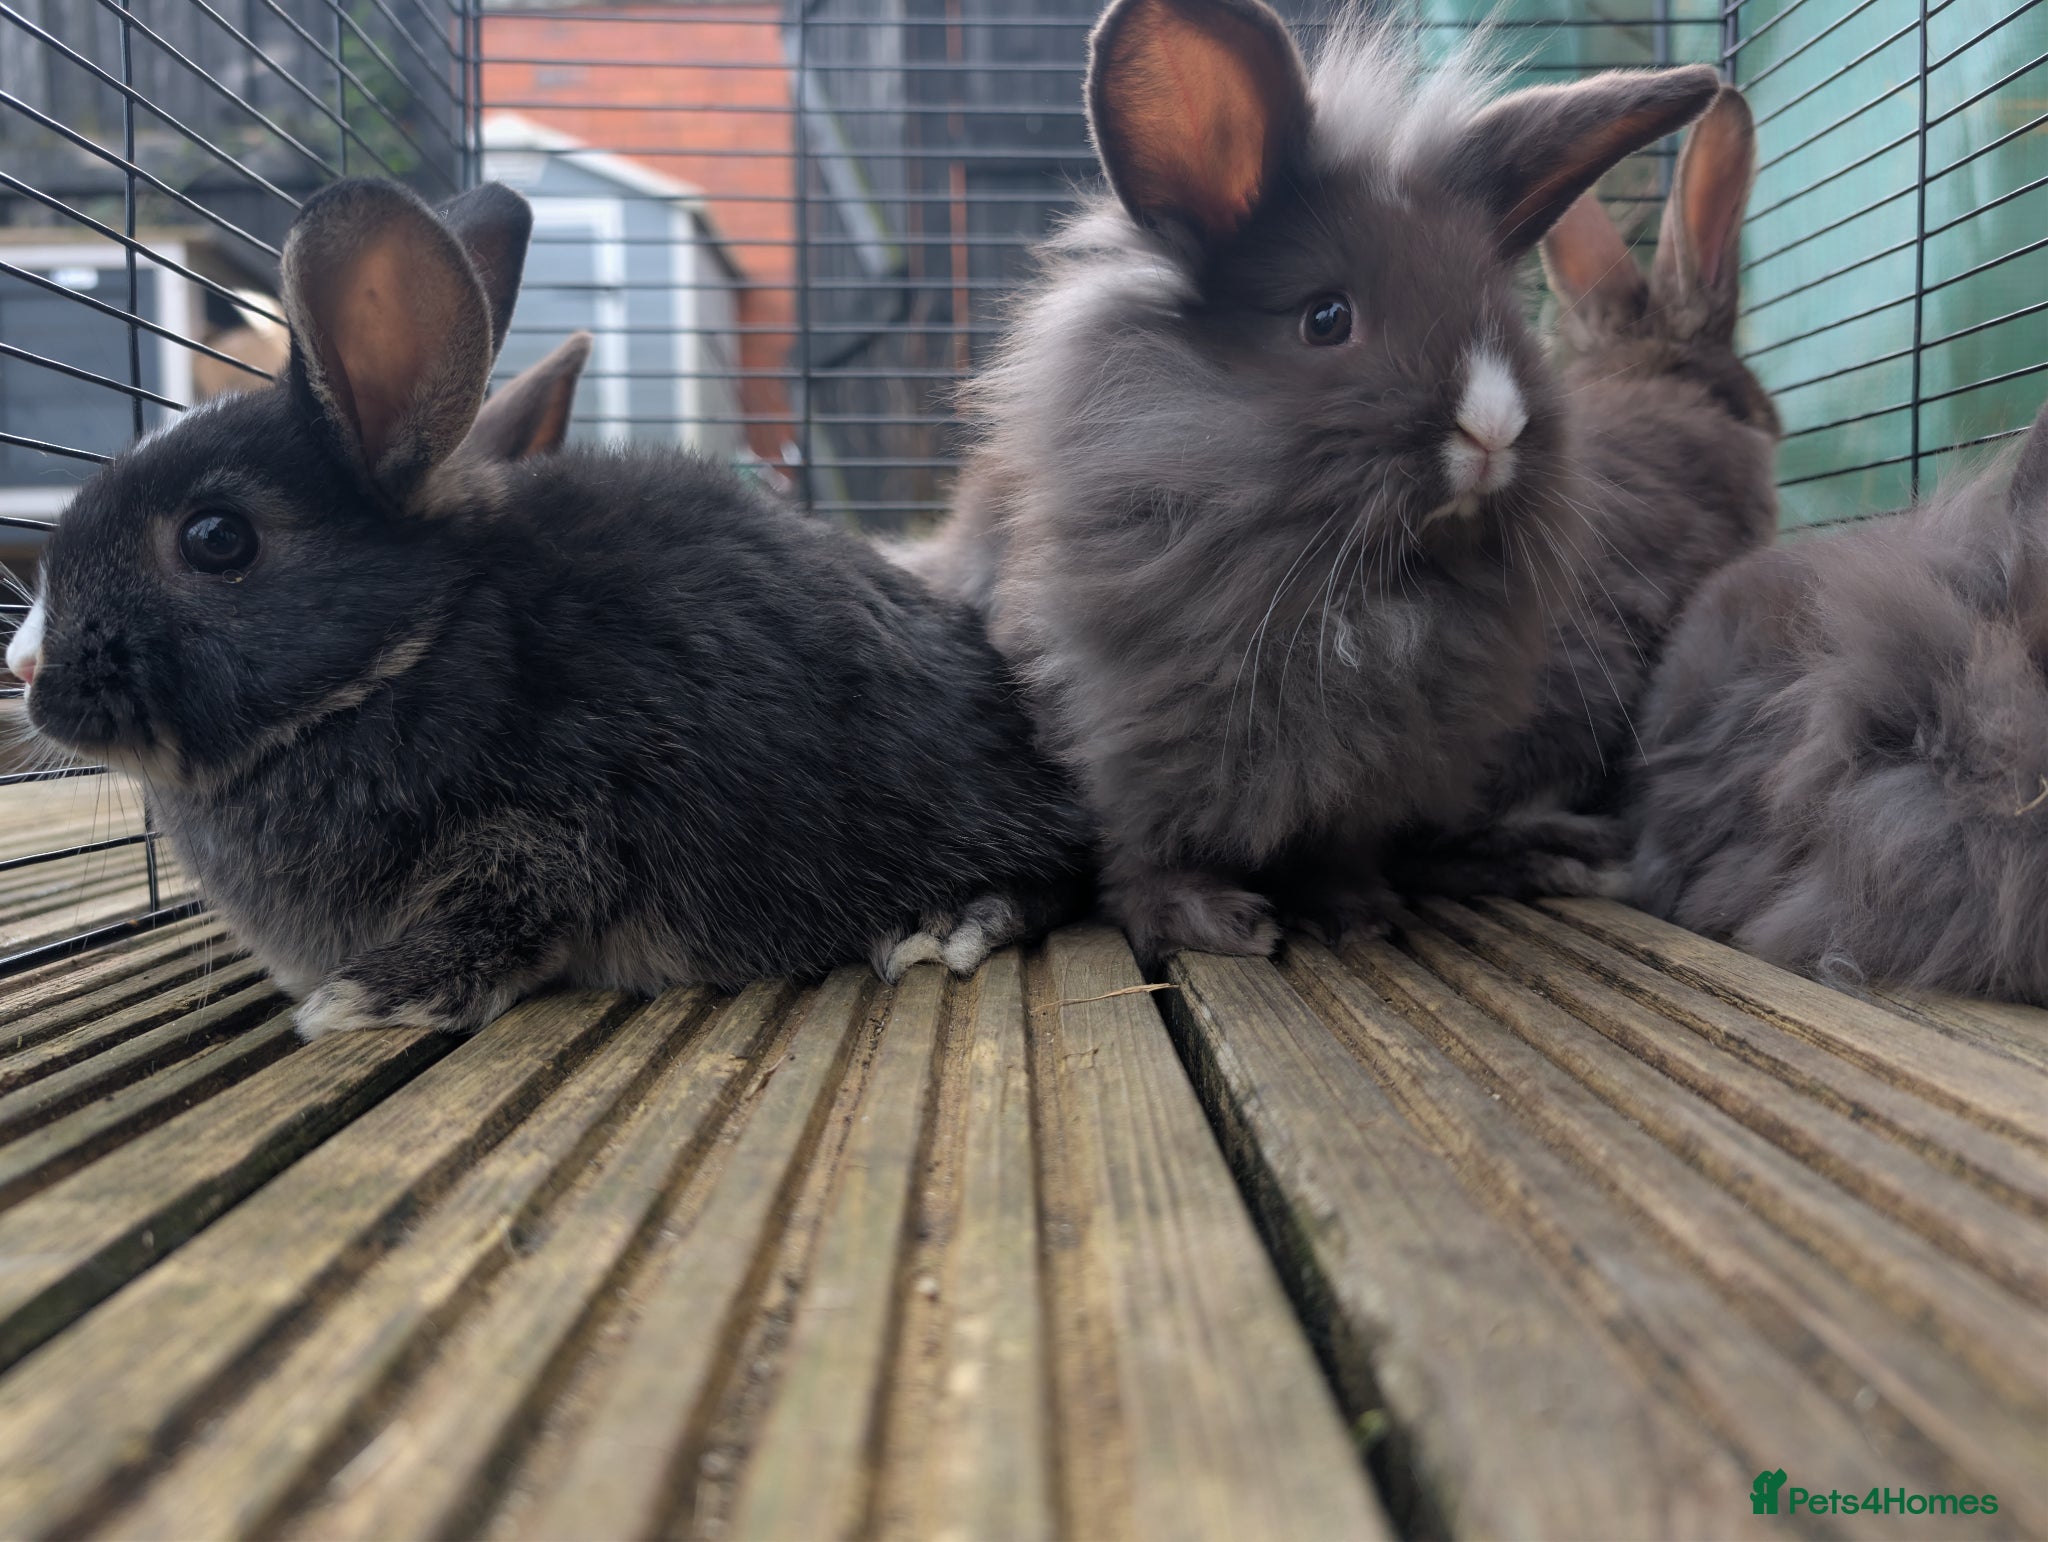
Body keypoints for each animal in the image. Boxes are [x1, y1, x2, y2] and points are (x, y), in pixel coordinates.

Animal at [3, 176, 1092, 1038]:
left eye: (216, 539)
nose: (24, 669)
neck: (408, 652)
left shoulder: (553, 828)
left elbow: (500, 918)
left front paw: (361, 1001)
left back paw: (945, 923)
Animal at [904, 0, 1720, 961]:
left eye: (1505, 320)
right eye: (1326, 318)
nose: (1493, 426)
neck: (1370, 588)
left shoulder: (1373, 776)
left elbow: (1336, 847)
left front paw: (1355, 913)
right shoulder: (1118, 741)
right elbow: (1142, 847)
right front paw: (1211, 920)